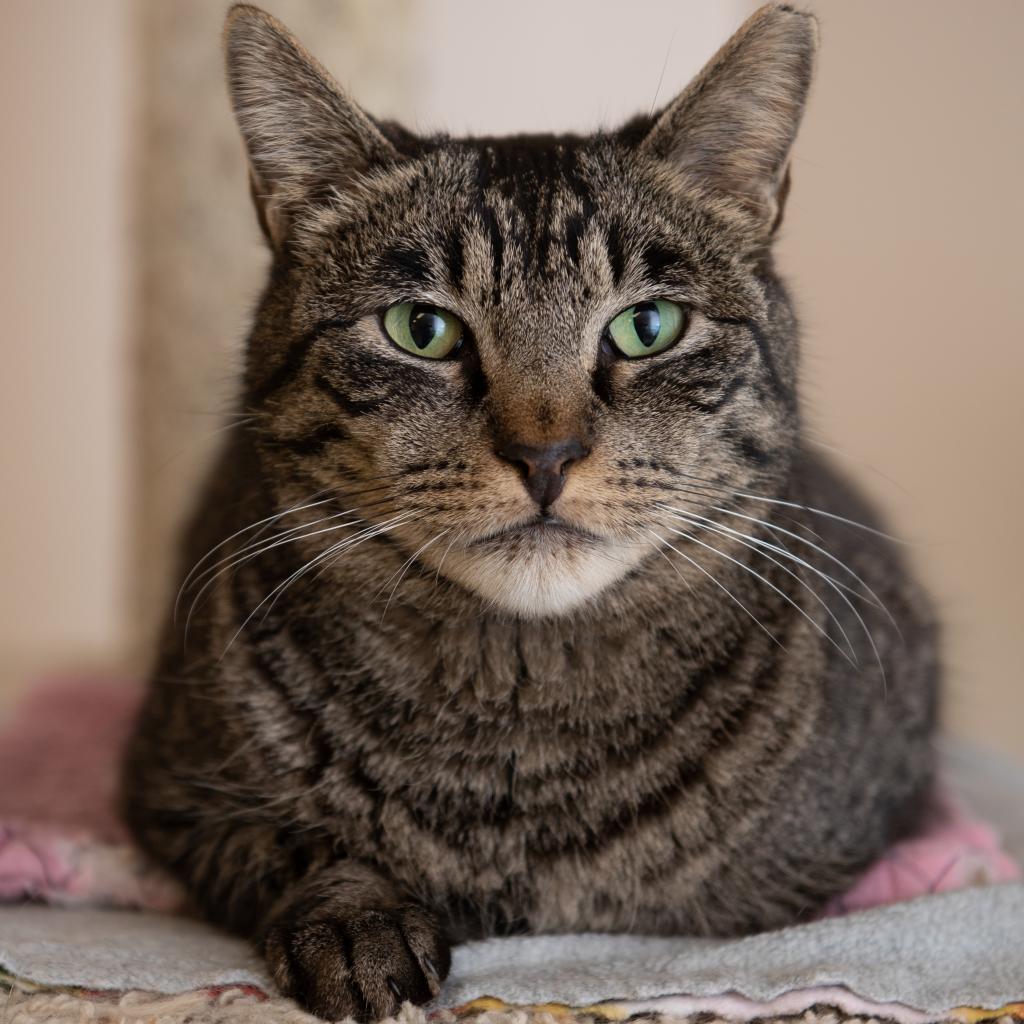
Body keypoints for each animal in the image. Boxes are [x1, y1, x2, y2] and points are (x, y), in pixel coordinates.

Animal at [123, 4, 937, 1019]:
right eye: (421, 330)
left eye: (648, 327)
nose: (544, 455)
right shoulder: (171, 788)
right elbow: (295, 844)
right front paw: (357, 920)